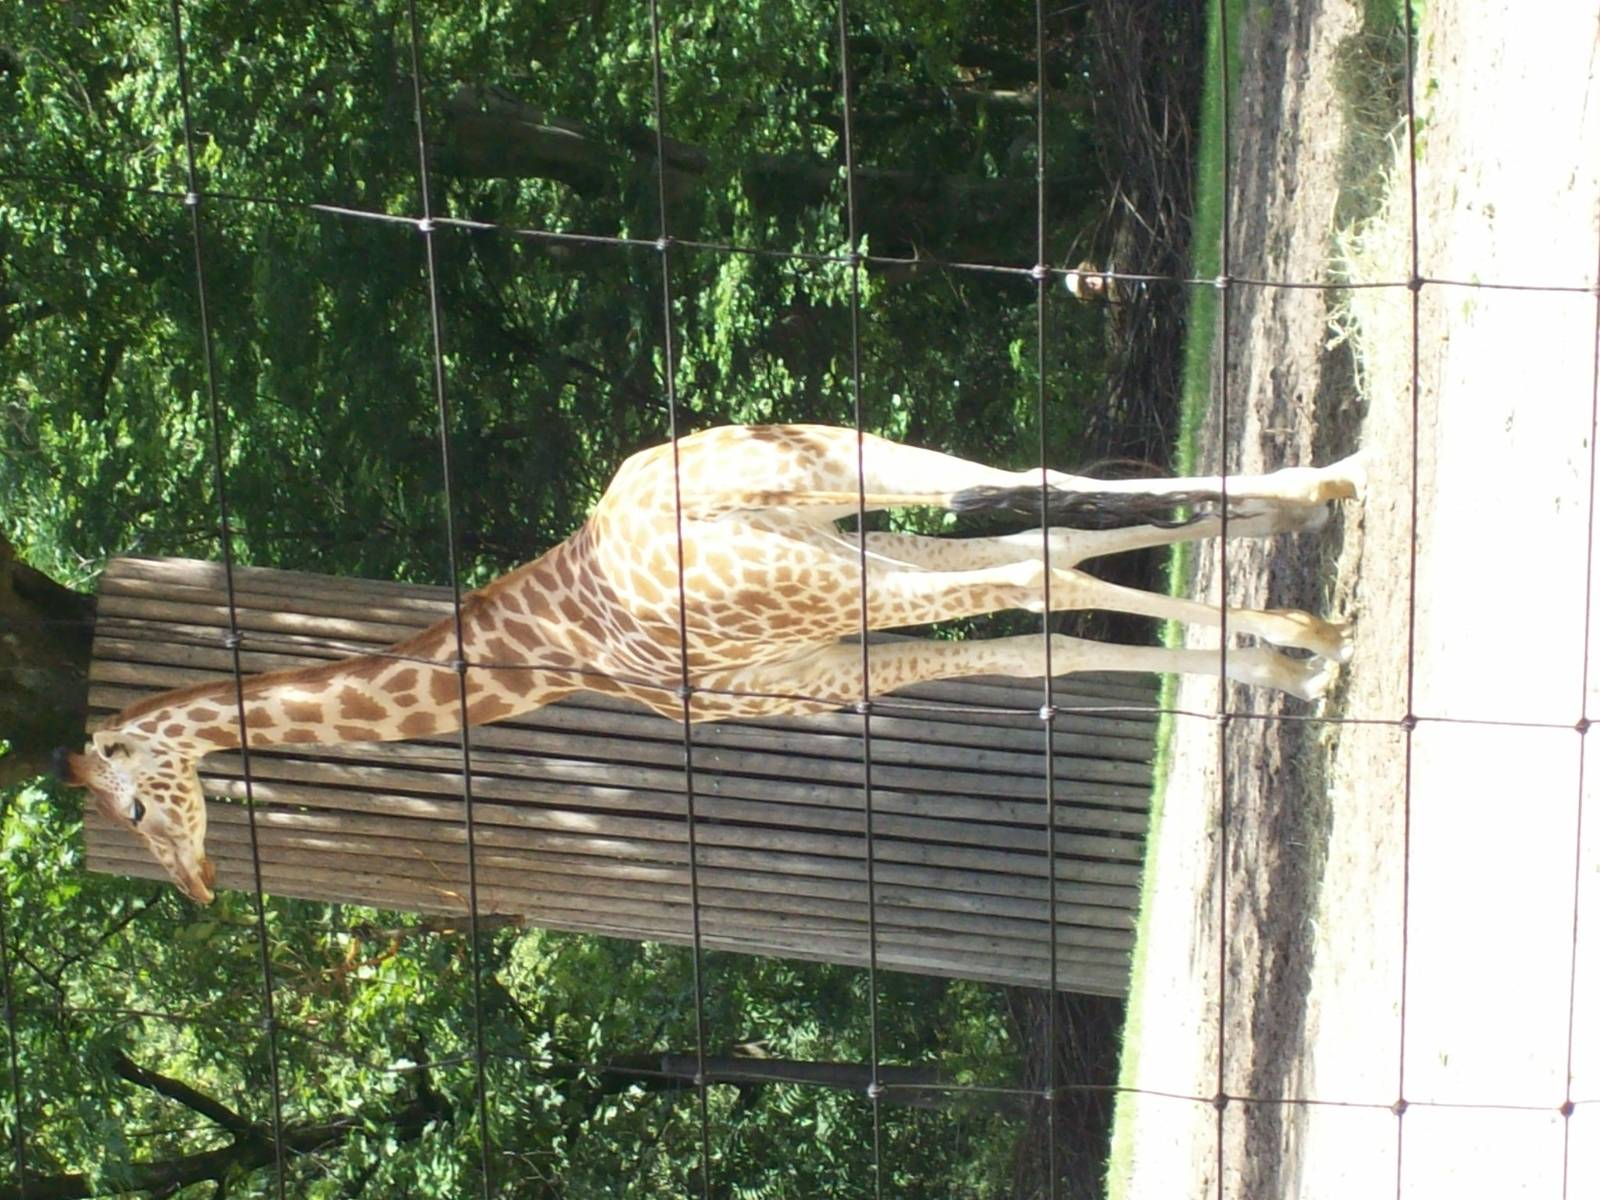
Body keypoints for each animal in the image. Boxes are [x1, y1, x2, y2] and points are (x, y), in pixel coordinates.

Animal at [58, 423, 1364, 903]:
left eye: (133, 805)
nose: (197, 889)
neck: (541, 659)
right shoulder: (820, 671)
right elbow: (1027, 652)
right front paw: (1277, 666)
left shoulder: (802, 653)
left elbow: (1038, 605)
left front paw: (1295, 651)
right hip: (838, 497)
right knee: (1038, 513)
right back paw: (1315, 514)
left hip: (827, 543)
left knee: (1036, 545)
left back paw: (1316, 614)